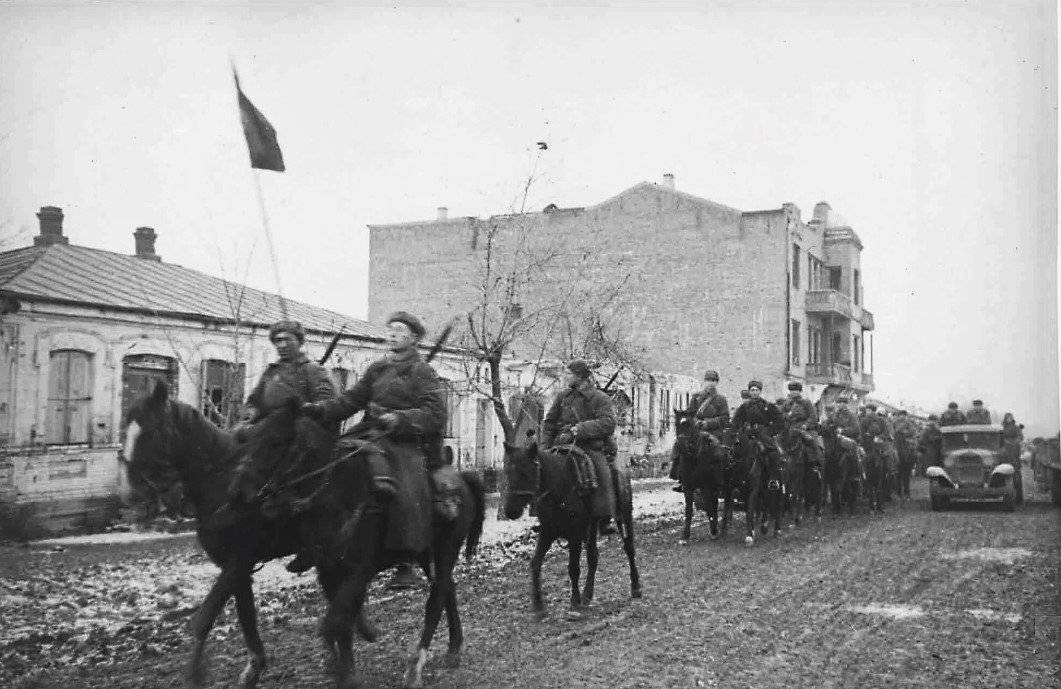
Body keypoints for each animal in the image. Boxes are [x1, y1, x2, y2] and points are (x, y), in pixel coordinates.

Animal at [123, 382, 485, 687]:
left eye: (151, 432)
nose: (133, 496)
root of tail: (460, 477)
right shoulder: (244, 566)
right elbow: (247, 614)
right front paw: (254, 667)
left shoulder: (240, 560)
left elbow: (206, 617)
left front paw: (198, 674)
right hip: (427, 554)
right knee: (447, 588)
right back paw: (452, 647)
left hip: (440, 550)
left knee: (436, 598)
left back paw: (416, 664)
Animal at [500, 437, 640, 619]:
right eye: (508, 472)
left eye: (525, 471)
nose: (510, 511)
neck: (560, 486)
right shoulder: (547, 531)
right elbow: (535, 563)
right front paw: (538, 605)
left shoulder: (575, 535)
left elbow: (573, 567)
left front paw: (574, 600)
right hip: (592, 527)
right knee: (593, 556)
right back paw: (587, 594)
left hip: (624, 515)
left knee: (629, 548)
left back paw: (636, 587)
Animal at [674, 414, 734, 543]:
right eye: (676, 425)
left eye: (690, 427)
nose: (681, 446)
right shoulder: (688, 488)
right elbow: (689, 510)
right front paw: (685, 535)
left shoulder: (706, 487)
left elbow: (709, 507)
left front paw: (714, 531)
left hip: (726, 486)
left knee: (727, 503)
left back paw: (724, 526)